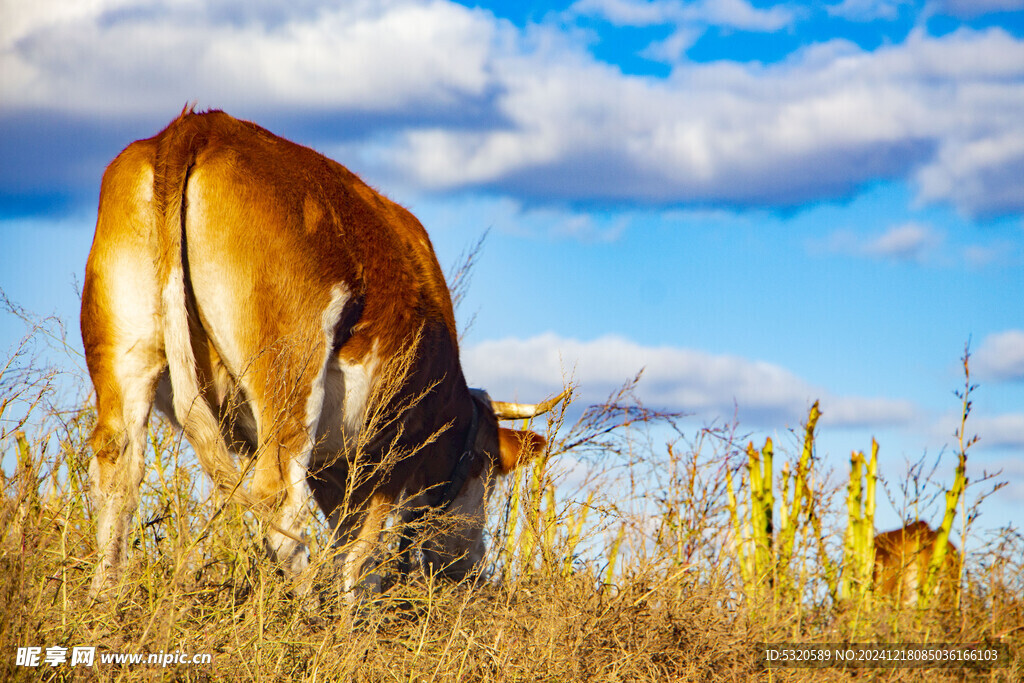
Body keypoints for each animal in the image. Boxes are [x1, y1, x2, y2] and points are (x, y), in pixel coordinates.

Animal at [82, 109, 565, 602]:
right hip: (290, 366)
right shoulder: (391, 446)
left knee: (118, 469)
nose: (471, 565)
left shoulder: (336, 466)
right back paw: (304, 607)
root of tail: (200, 126)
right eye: (488, 470)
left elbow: (346, 538)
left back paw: (104, 600)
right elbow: (361, 555)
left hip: (125, 351)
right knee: (279, 499)